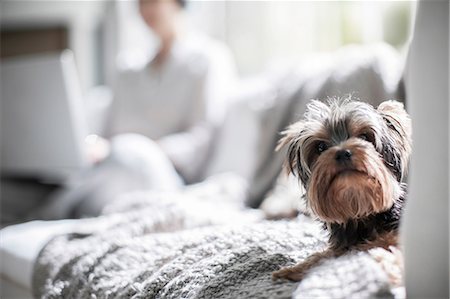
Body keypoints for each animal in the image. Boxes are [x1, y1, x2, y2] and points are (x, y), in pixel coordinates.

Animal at [270, 97, 412, 282]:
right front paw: (295, 269)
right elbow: (326, 255)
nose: (343, 152)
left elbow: (373, 246)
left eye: (364, 137)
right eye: (320, 147)